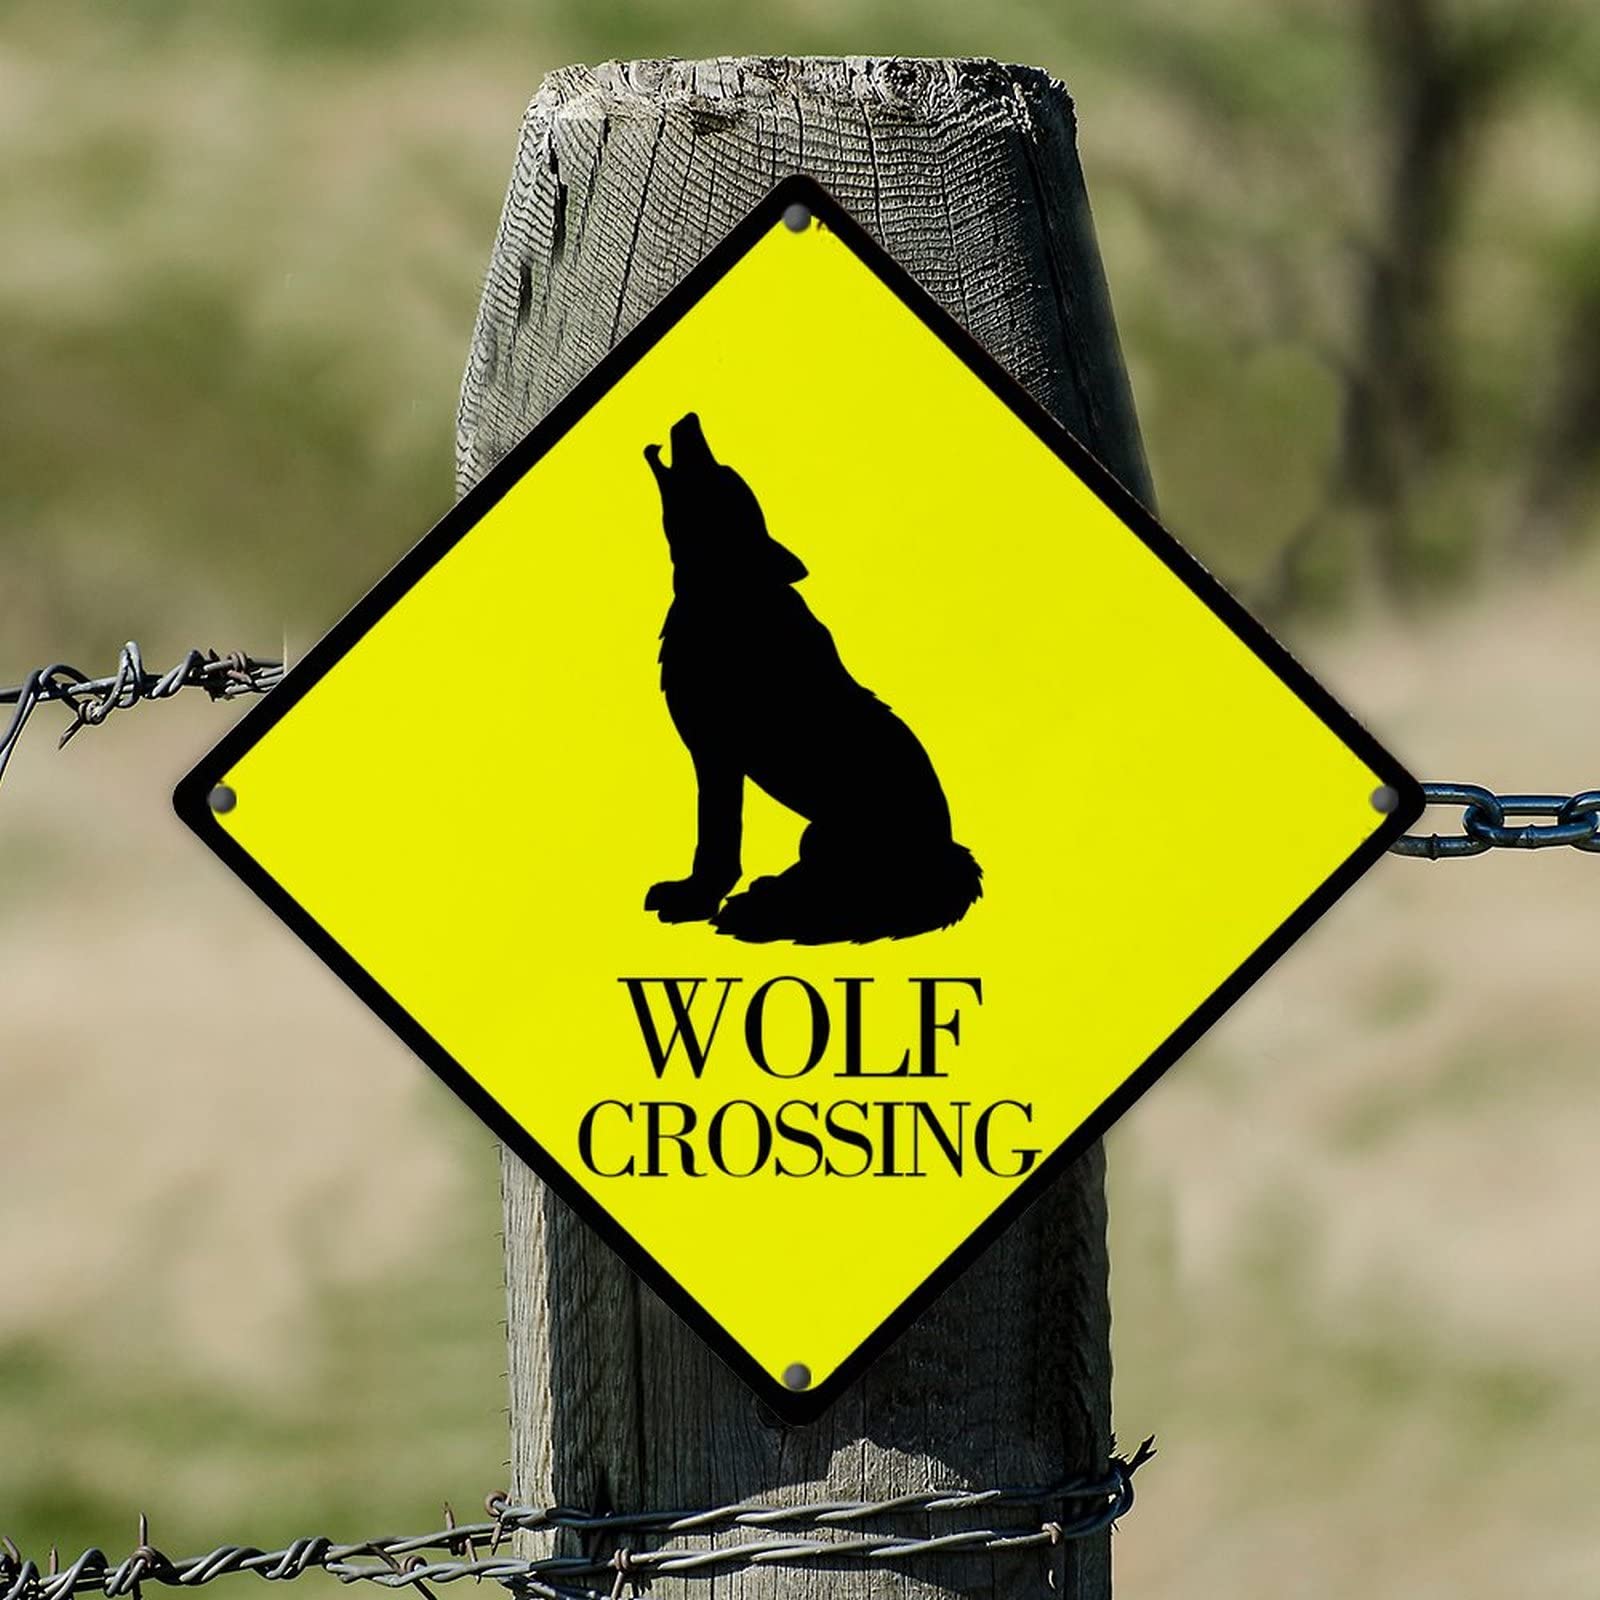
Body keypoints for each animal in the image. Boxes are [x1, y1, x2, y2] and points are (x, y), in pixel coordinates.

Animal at [641, 412, 981, 944]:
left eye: (722, 477)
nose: (690, 418)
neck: (726, 595)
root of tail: (950, 854)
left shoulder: (716, 755)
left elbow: (716, 839)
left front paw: (695, 900)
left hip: (833, 835)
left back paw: (759, 908)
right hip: (817, 836)